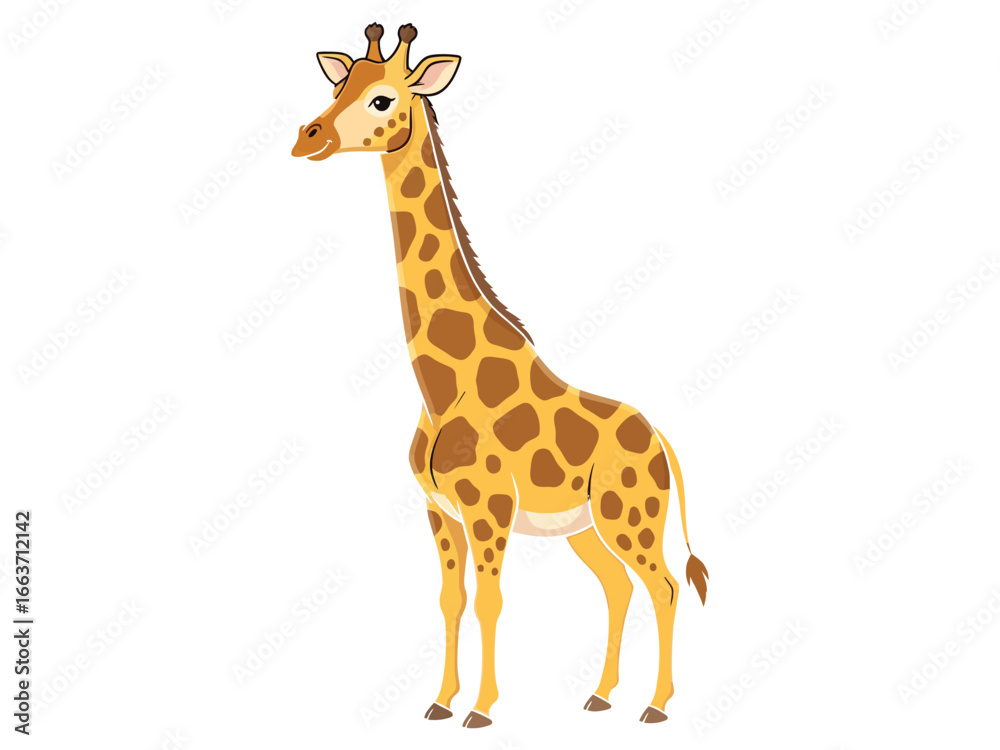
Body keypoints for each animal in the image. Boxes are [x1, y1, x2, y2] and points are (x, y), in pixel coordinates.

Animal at [291, 23, 709, 727]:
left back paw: (655, 706)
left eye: (382, 99)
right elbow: (451, 600)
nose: (308, 136)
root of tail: (661, 442)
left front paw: (481, 710)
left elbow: (490, 599)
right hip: (586, 528)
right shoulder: (439, 512)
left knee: (665, 584)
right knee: (618, 586)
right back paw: (600, 696)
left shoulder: (488, 506)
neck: (438, 387)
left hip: (631, 517)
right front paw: (439, 702)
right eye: (336, 84)